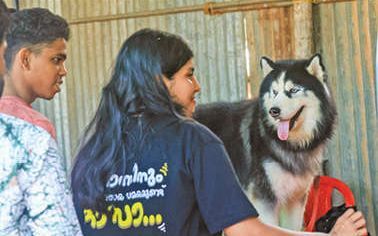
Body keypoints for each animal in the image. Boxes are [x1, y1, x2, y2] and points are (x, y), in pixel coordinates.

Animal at [195, 54, 336, 230]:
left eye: (293, 90)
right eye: (274, 92)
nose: (273, 111)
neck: (290, 145)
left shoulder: (295, 200)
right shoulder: (264, 200)